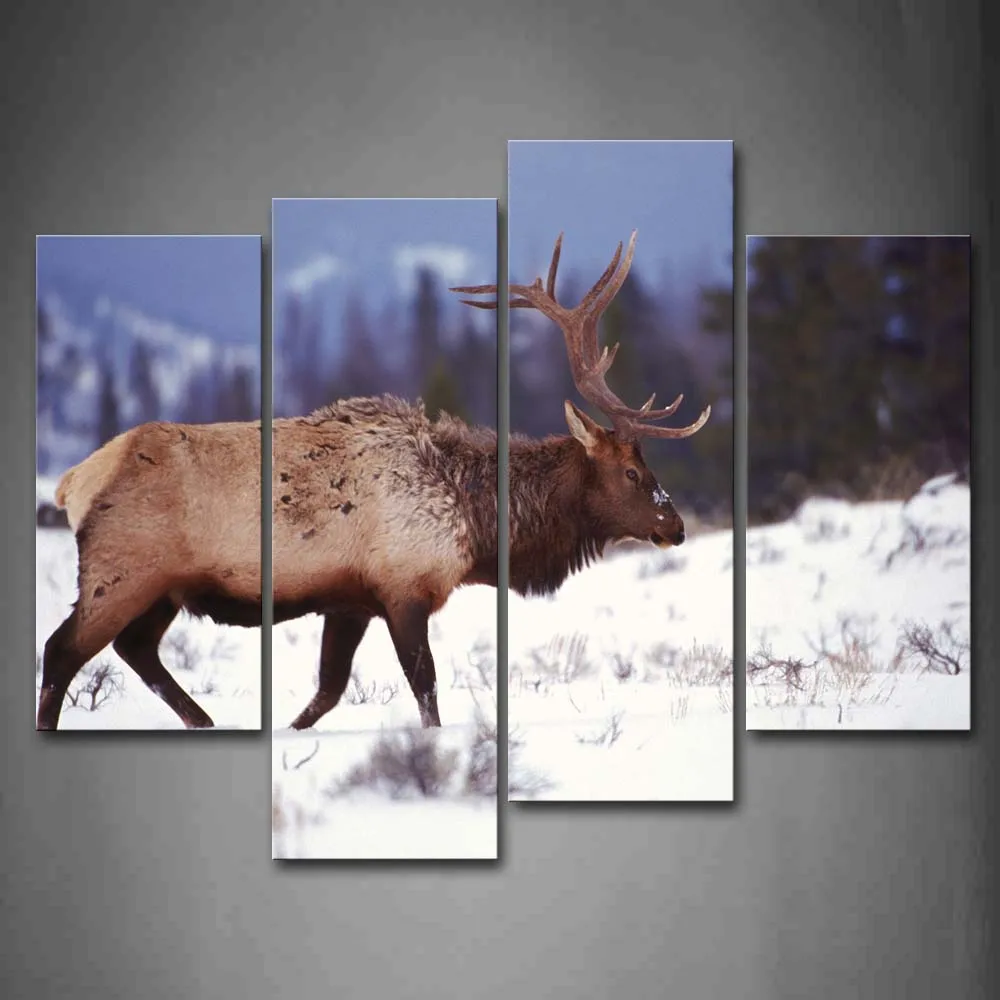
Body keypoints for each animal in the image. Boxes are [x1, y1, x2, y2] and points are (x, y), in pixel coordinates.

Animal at [37, 230, 708, 733]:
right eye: (632, 470)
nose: (675, 525)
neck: (476, 523)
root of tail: (73, 481)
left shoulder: (350, 599)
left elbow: (326, 692)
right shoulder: (404, 588)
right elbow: (426, 690)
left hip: (163, 590)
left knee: (136, 649)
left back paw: (204, 722)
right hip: (122, 573)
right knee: (62, 650)